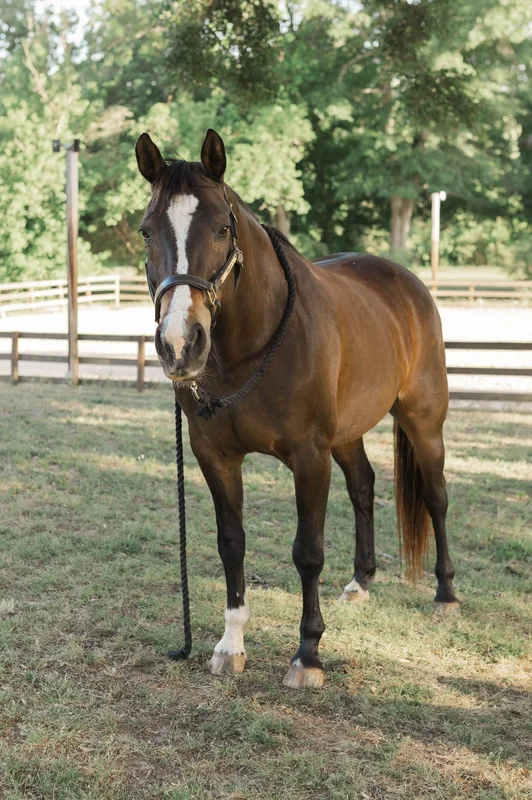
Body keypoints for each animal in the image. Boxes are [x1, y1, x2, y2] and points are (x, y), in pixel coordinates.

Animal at [135, 128, 459, 689]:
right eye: (146, 232)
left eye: (222, 228)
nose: (179, 344)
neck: (248, 350)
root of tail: (404, 281)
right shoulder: (215, 457)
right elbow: (231, 543)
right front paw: (231, 645)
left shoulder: (309, 457)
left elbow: (307, 553)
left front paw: (307, 654)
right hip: (347, 434)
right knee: (363, 486)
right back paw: (361, 582)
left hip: (423, 419)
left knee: (436, 498)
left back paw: (445, 593)